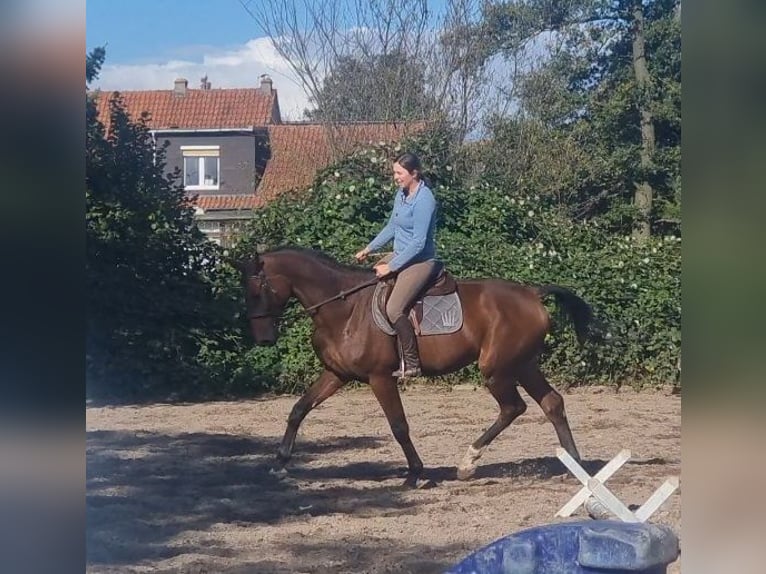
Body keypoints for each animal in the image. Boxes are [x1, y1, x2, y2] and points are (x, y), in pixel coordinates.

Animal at [237, 245, 596, 488]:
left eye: (256, 290)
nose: (264, 339)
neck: (344, 310)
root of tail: (533, 293)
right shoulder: (336, 375)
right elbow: (299, 409)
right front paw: (280, 462)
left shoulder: (380, 378)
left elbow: (399, 426)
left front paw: (415, 474)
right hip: (522, 365)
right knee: (551, 403)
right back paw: (575, 466)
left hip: (497, 370)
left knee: (513, 407)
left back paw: (468, 462)